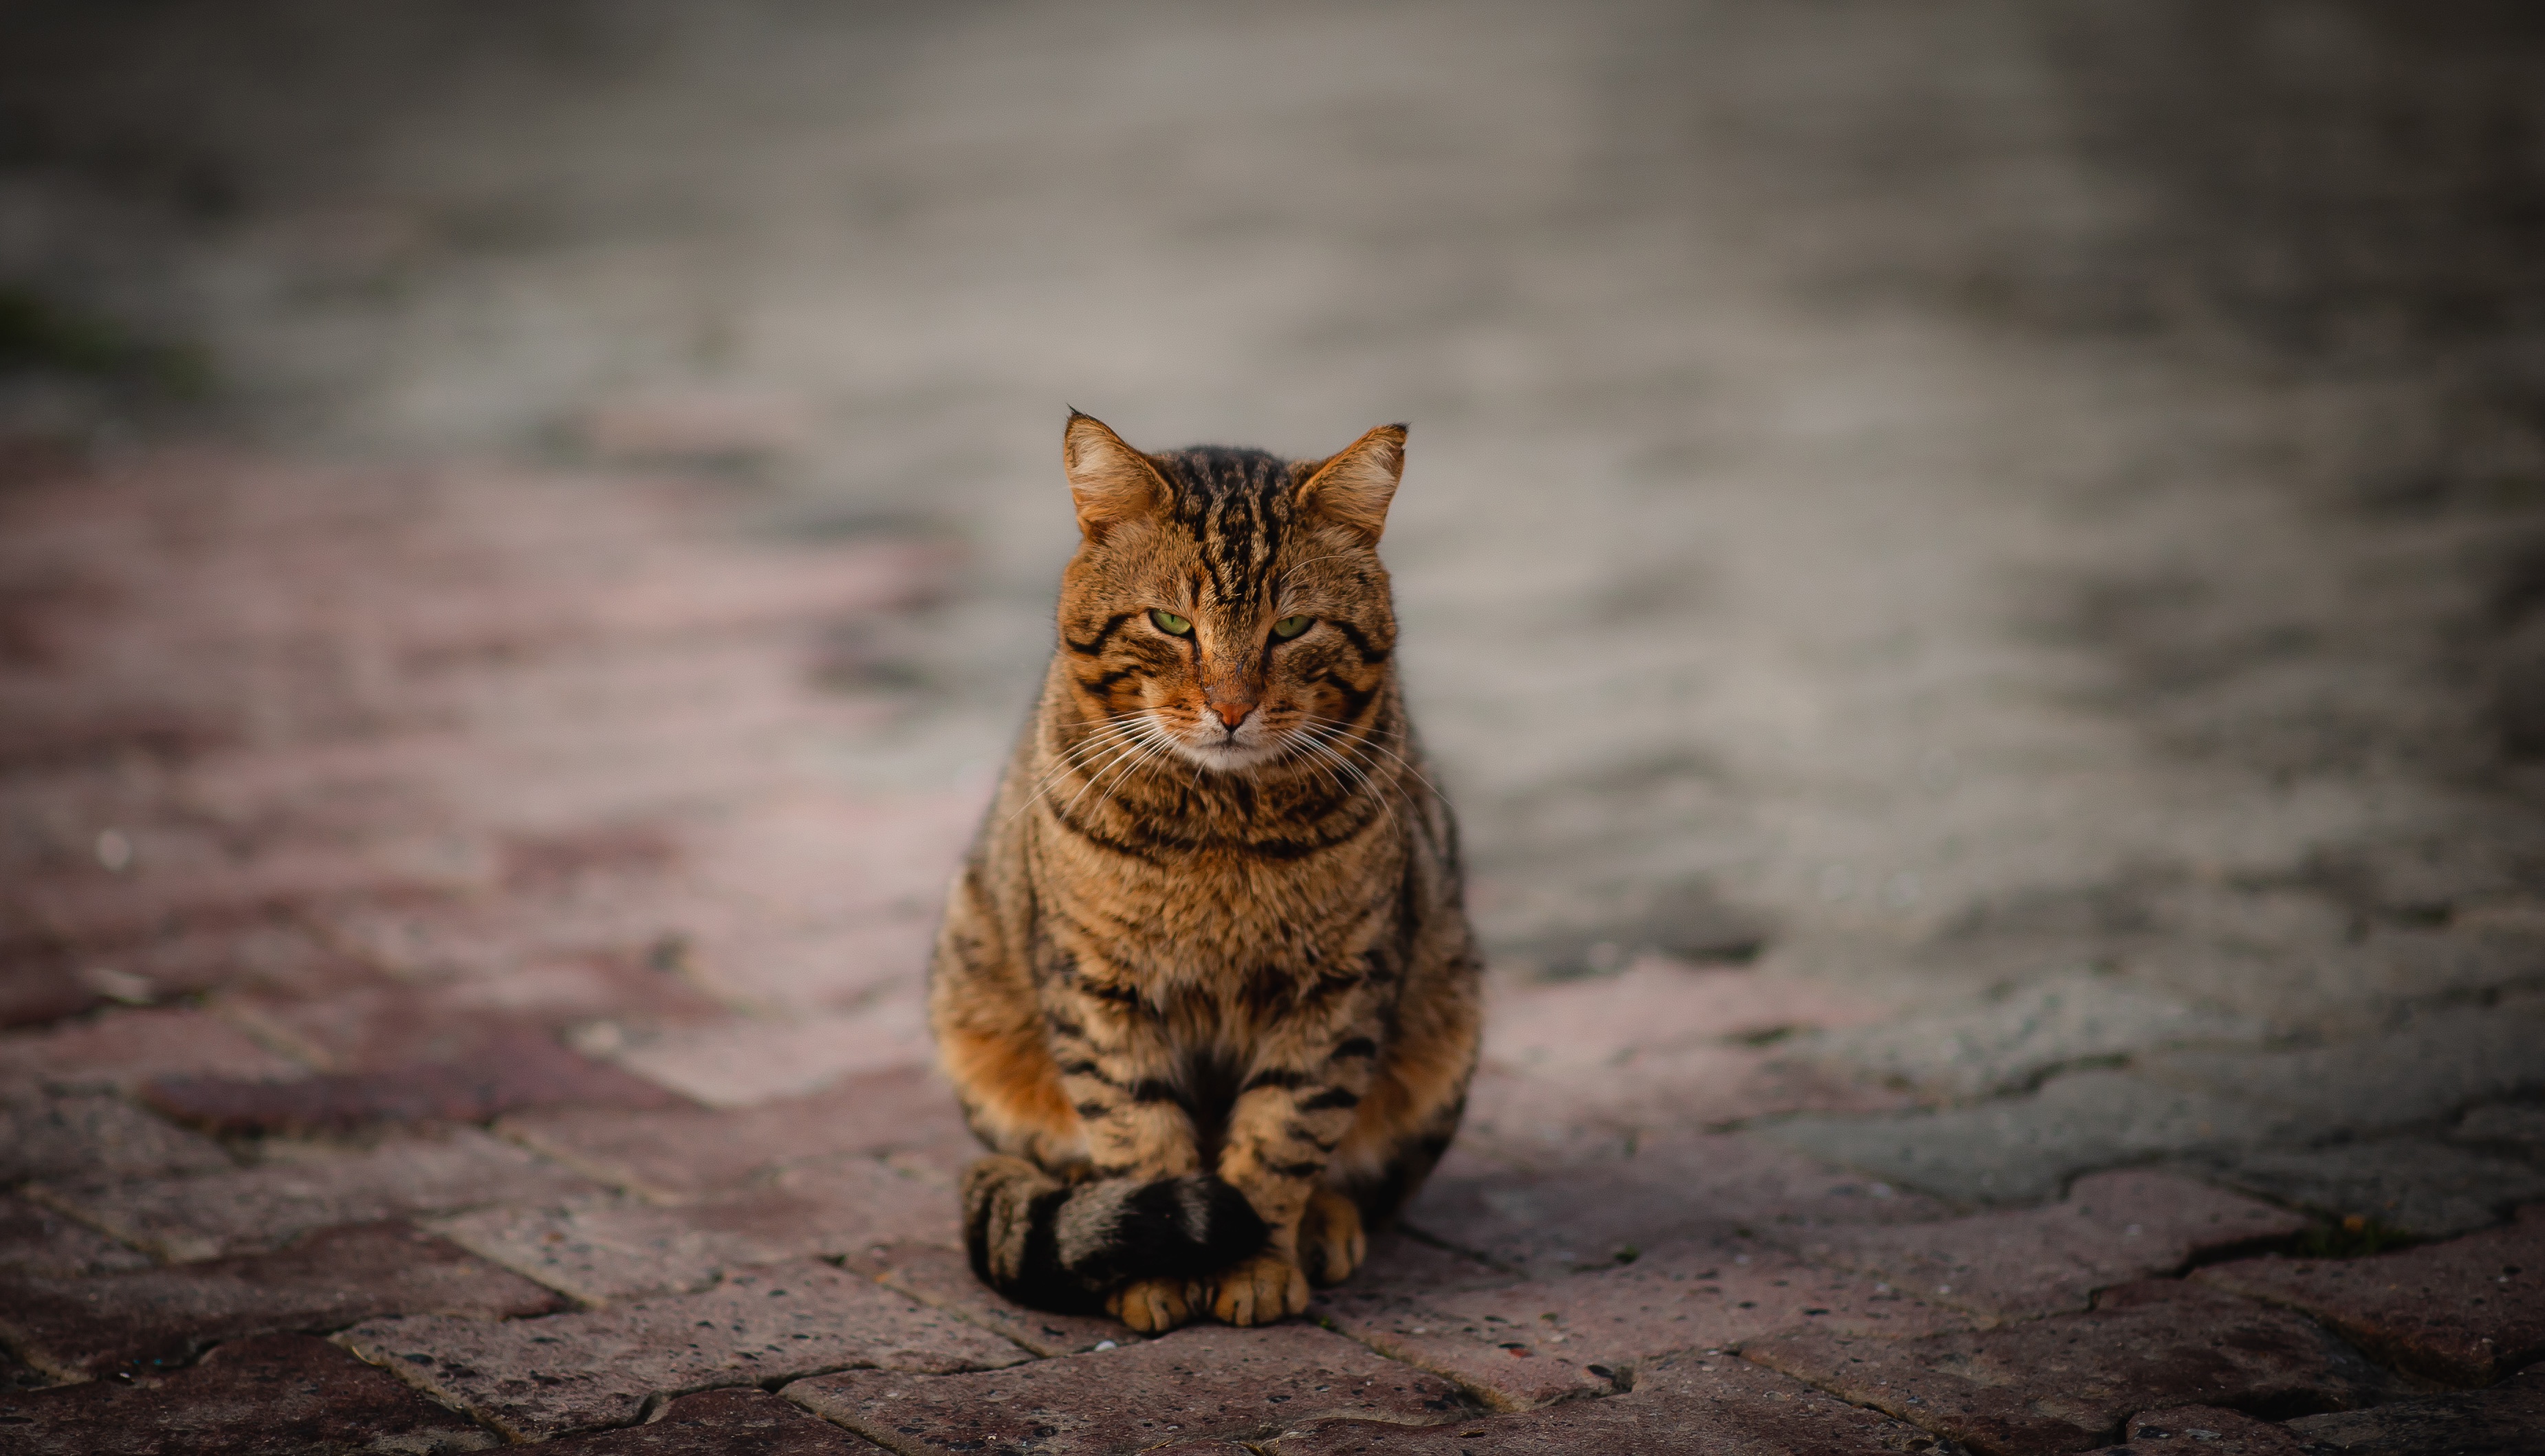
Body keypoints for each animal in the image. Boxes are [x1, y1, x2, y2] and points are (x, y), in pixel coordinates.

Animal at [931, 410, 1486, 1334]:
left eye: (1291, 629)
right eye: (1169, 622)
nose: (1231, 708)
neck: (1220, 832)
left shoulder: (1338, 988)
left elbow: (1283, 1135)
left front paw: (1254, 1262)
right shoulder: (1097, 987)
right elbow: (1137, 1131)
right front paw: (1155, 1271)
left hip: (1447, 1016)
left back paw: (1324, 1225)